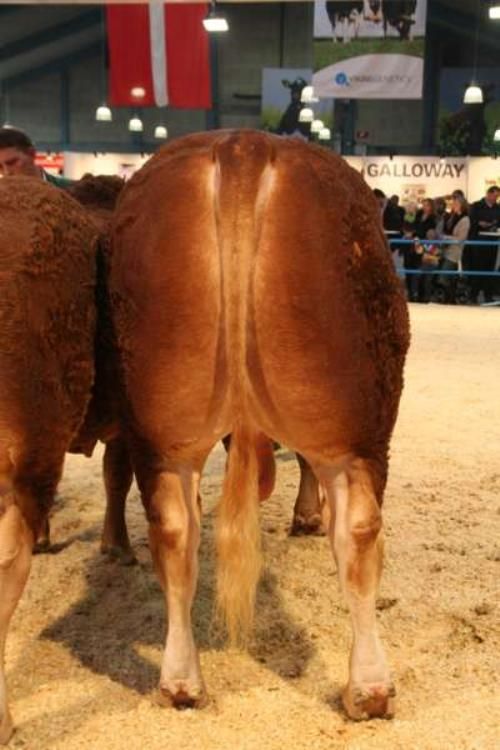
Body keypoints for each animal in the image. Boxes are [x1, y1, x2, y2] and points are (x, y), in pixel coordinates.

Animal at [110, 131, 410, 724]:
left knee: (174, 532)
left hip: (161, 426)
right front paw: (306, 516)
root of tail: (244, 144)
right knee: (360, 532)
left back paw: (182, 683)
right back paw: (370, 690)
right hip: (362, 419)